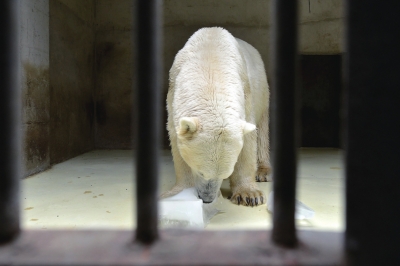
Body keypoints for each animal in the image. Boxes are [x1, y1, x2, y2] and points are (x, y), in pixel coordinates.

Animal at [161, 27, 270, 206]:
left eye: (226, 173)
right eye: (200, 171)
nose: (207, 198)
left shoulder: (246, 93)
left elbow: (248, 141)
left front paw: (250, 195)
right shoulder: (173, 92)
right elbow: (177, 141)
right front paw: (179, 193)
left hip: (263, 91)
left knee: (262, 132)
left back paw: (262, 172)